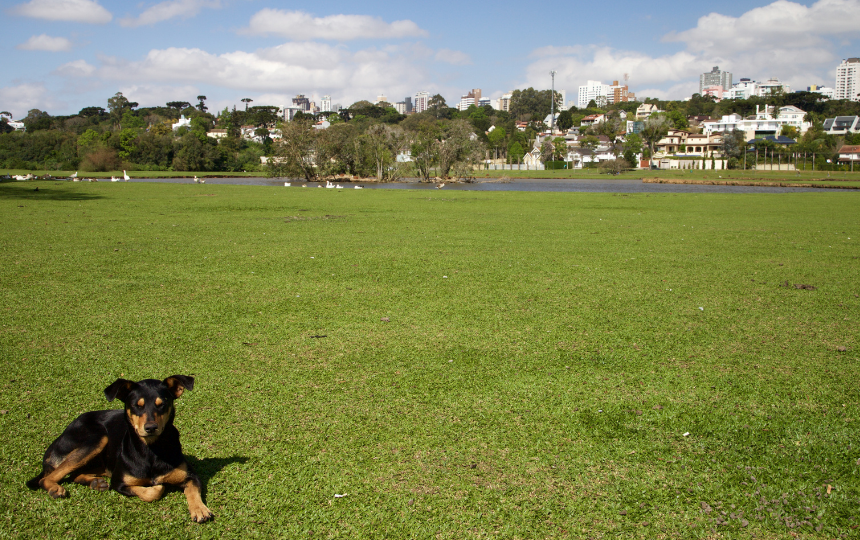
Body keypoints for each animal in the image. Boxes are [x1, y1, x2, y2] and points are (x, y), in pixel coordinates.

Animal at [27, 376, 213, 524]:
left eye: (162, 405)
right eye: (136, 405)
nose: (151, 428)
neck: (151, 450)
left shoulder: (190, 476)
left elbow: (193, 491)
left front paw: (199, 509)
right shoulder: (119, 482)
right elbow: (150, 492)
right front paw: (157, 488)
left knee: (73, 474)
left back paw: (95, 482)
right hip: (97, 439)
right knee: (48, 477)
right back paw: (55, 488)